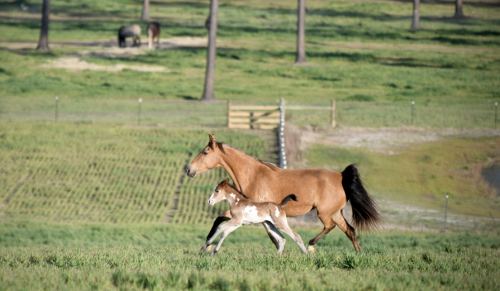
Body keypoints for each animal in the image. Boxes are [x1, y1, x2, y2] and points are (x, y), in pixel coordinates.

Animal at [186, 135, 380, 253]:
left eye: (205, 152)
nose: (188, 169)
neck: (254, 175)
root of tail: (340, 175)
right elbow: (219, 219)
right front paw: (206, 246)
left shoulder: (258, 213)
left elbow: (275, 238)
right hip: (336, 212)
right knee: (350, 230)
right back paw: (358, 254)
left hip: (324, 212)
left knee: (330, 226)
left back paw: (311, 246)